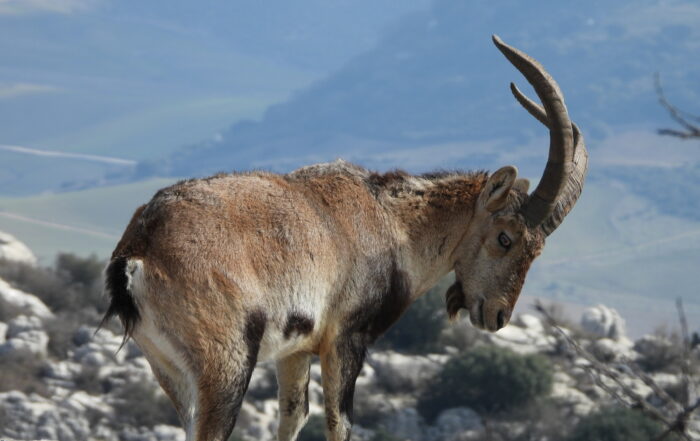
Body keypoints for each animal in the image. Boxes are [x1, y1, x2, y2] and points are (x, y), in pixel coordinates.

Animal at [100, 36, 588, 441]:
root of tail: (139, 251)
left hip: (172, 370)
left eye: (538, 249)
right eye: (506, 238)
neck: (395, 225)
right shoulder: (346, 338)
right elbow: (340, 422)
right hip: (226, 365)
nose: (498, 315)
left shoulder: (296, 349)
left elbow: (294, 416)